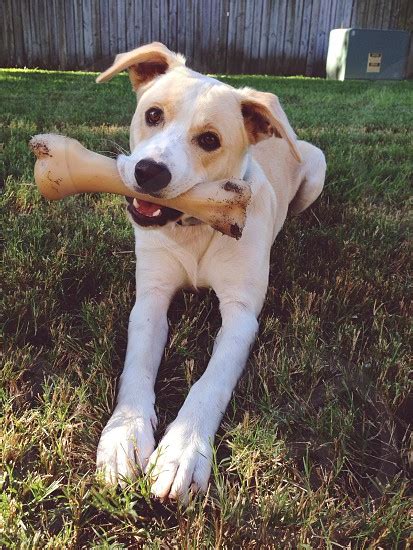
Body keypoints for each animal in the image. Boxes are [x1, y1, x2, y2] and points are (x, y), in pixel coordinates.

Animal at [94, 41, 326, 502]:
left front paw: (182, 450)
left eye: (209, 140)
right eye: (153, 114)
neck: (196, 227)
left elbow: (211, 381)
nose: (148, 171)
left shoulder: (241, 315)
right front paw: (124, 436)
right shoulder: (150, 298)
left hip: (317, 170)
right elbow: (137, 366)